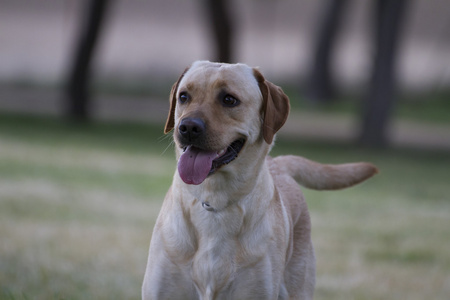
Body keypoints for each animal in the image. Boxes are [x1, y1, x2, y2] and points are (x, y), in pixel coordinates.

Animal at [142, 61, 378, 300]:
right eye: (184, 96)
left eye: (229, 99)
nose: (188, 127)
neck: (214, 201)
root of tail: (279, 163)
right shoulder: (161, 290)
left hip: (298, 287)